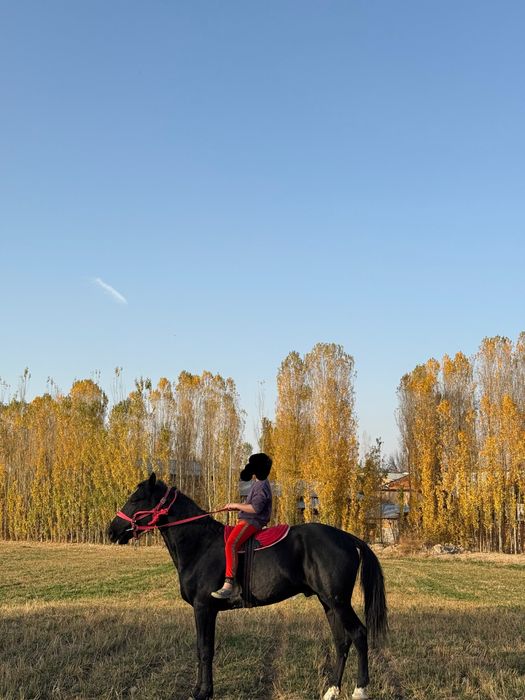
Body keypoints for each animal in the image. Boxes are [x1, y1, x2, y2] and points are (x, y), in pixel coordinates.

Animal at [108, 473, 388, 700]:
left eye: (137, 499)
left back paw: (360, 690)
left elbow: (204, 650)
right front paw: (201, 690)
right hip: (328, 603)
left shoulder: (203, 608)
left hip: (338, 602)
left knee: (359, 634)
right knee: (341, 642)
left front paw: (202, 693)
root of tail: (348, 538)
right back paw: (331, 691)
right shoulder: (205, 611)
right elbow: (202, 649)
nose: (112, 530)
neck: (200, 544)